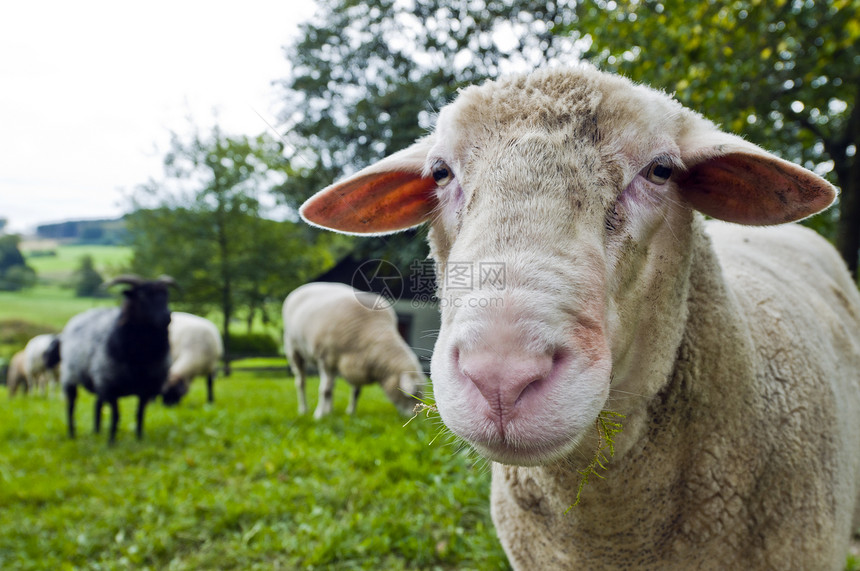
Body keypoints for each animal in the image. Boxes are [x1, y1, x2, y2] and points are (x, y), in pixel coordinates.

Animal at [46, 274, 177, 444]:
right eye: (142, 295)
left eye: (166, 294)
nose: (166, 317)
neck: (140, 356)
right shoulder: (109, 385)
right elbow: (115, 416)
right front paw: (111, 442)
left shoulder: (147, 387)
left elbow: (140, 415)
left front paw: (139, 439)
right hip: (70, 377)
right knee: (71, 407)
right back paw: (72, 434)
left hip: (97, 380)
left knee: (97, 405)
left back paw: (96, 432)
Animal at [284, 282, 424, 420]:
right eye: (413, 395)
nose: (416, 417)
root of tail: (300, 289)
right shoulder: (326, 359)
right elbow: (324, 390)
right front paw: (319, 415)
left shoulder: (359, 364)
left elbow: (355, 392)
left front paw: (351, 413)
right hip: (294, 349)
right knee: (301, 382)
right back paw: (304, 409)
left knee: (331, 386)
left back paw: (330, 411)